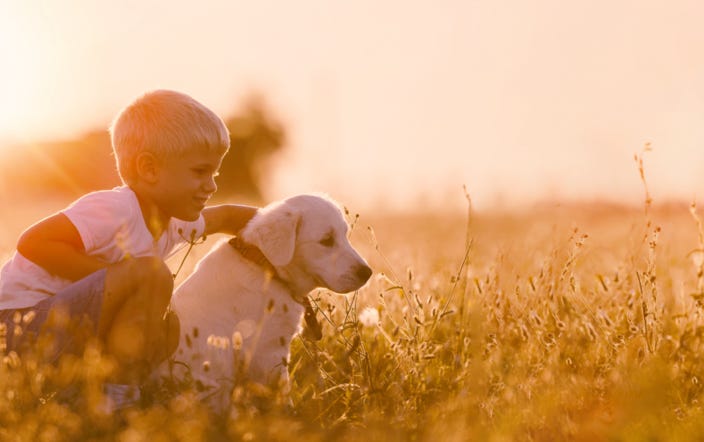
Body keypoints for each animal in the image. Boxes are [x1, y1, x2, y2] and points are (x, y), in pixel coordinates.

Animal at [156, 193, 372, 410]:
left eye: (345, 236)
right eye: (326, 241)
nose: (367, 273)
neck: (267, 267)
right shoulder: (269, 352)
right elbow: (282, 394)